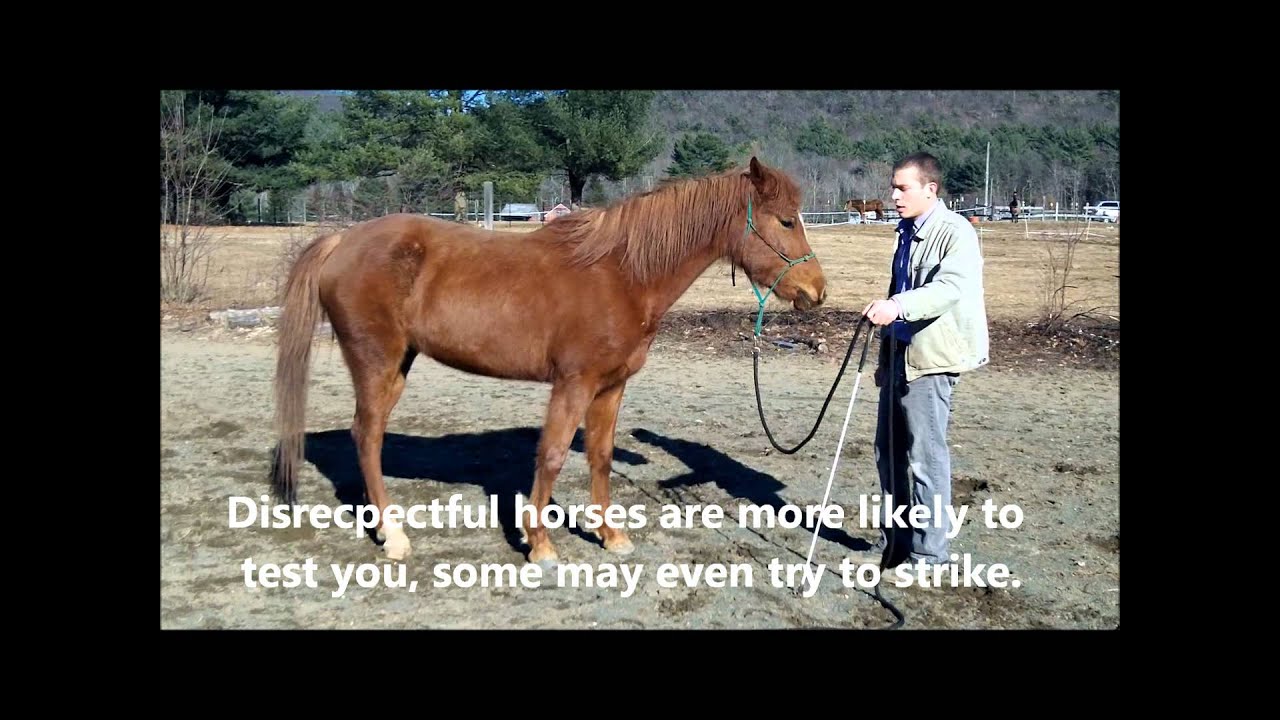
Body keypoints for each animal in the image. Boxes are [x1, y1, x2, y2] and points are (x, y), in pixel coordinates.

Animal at [270, 156, 828, 569]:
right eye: (785, 220)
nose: (816, 292)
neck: (621, 274)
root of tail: (343, 240)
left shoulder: (610, 387)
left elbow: (599, 457)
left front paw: (611, 536)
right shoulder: (573, 383)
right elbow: (554, 455)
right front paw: (540, 544)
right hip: (377, 363)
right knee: (367, 437)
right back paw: (394, 535)